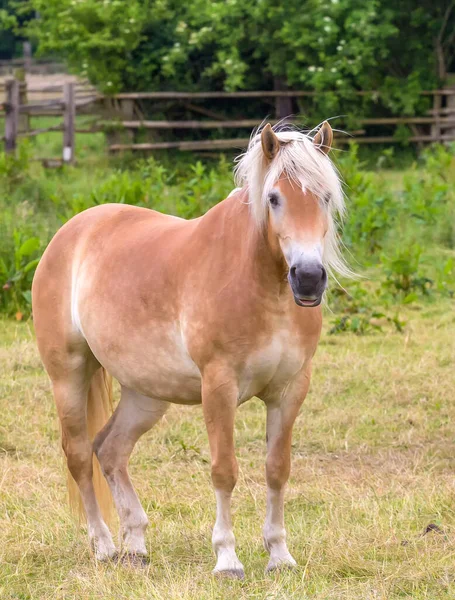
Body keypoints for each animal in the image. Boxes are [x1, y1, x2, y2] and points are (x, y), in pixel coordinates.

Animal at [32, 120, 350, 576]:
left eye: (325, 196)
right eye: (274, 198)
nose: (307, 278)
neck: (258, 284)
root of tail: (70, 233)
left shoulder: (290, 390)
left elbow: (277, 469)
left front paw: (279, 555)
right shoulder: (218, 387)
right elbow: (224, 470)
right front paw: (227, 558)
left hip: (145, 394)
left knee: (110, 450)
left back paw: (136, 545)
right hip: (68, 375)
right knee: (78, 455)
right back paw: (105, 546)